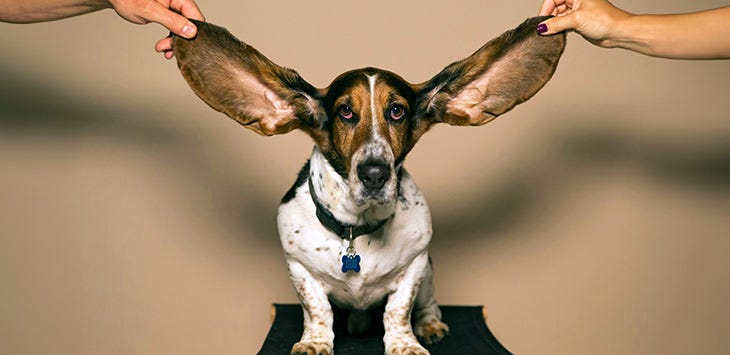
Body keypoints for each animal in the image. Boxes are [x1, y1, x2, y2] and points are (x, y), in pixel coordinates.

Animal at [171, 15, 564, 354]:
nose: (374, 173)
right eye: (345, 111)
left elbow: (398, 310)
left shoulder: (415, 266)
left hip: (430, 274)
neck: (356, 228)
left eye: (397, 111)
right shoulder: (299, 269)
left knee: (428, 305)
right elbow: (317, 309)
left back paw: (430, 325)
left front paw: (405, 344)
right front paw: (315, 341)